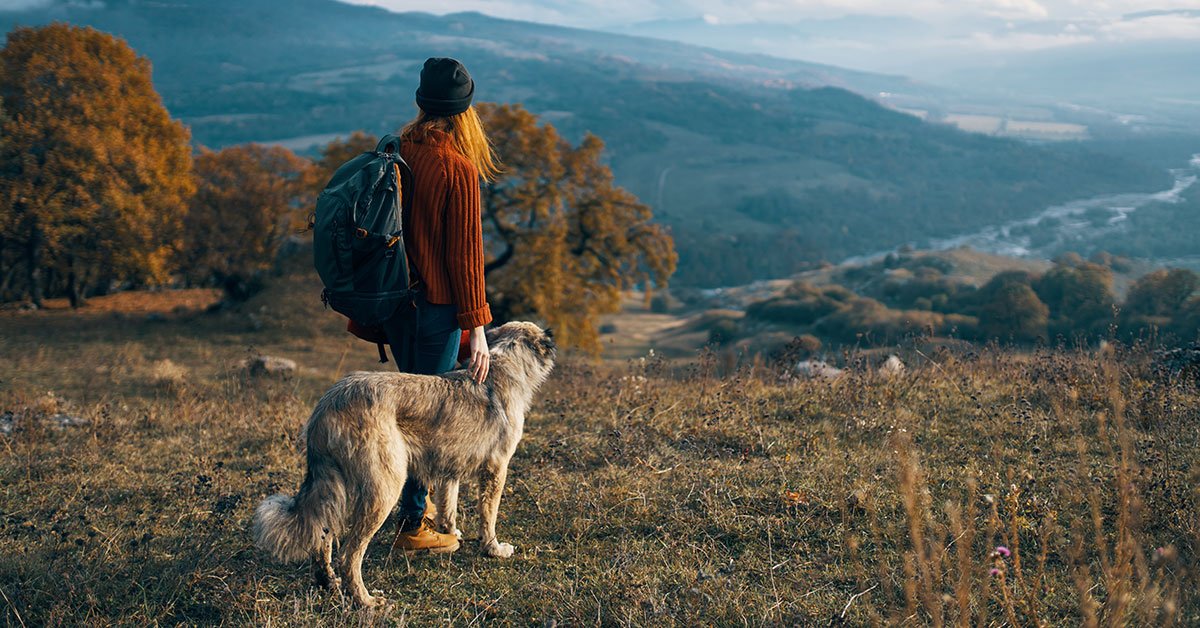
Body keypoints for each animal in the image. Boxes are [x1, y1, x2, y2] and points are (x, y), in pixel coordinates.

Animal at [255, 321, 554, 607]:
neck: (507, 364)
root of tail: (328, 403)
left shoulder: (449, 469)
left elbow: (449, 506)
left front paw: (450, 533)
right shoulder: (496, 469)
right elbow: (488, 516)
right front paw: (493, 548)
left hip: (336, 486)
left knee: (324, 535)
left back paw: (328, 582)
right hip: (384, 487)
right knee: (349, 555)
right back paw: (366, 600)